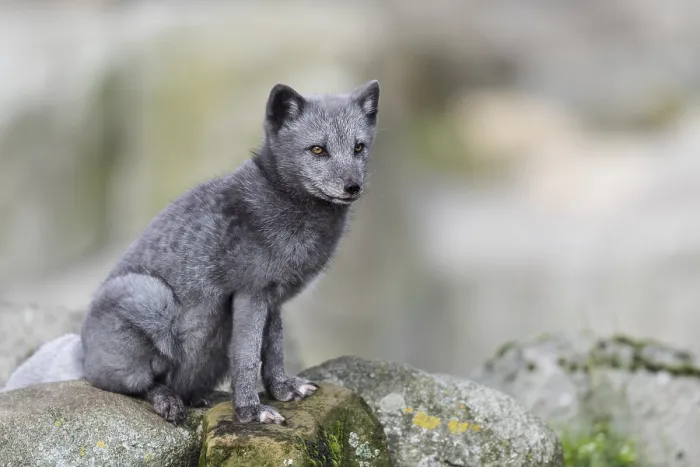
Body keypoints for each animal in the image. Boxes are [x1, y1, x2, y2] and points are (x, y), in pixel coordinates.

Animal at [2, 80, 380, 425]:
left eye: (359, 147)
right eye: (317, 150)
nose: (353, 187)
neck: (281, 203)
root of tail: (81, 351)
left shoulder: (274, 300)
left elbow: (273, 352)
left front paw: (283, 390)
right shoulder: (250, 294)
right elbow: (246, 358)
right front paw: (251, 412)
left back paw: (197, 397)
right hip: (153, 299)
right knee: (125, 384)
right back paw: (167, 400)